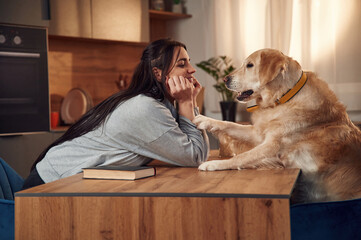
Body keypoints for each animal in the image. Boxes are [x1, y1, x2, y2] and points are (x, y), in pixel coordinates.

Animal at [193, 48, 360, 202]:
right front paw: (204, 120)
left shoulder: (272, 146)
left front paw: (214, 164)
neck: (283, 98)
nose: (224, 79)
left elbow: (241, 157)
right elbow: (229, 124)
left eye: (249, 65)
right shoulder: (258, 134)